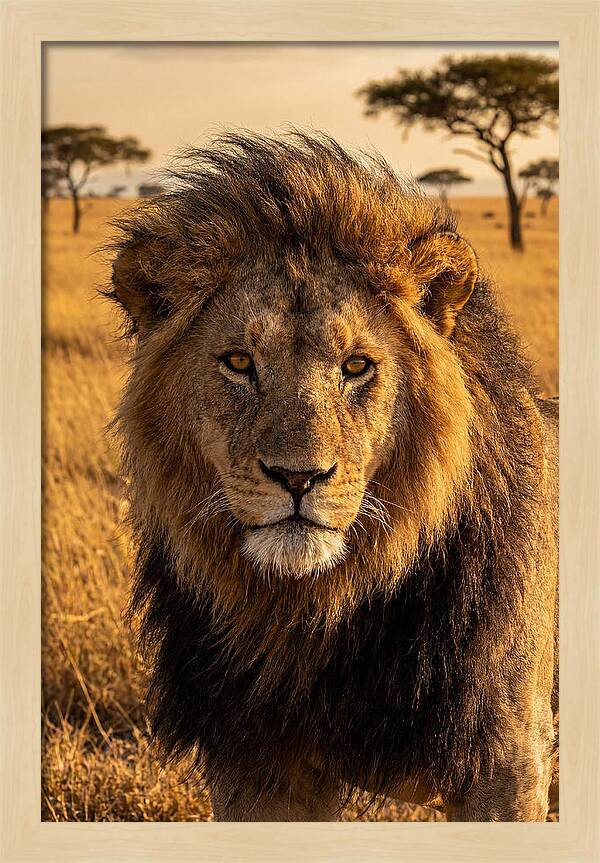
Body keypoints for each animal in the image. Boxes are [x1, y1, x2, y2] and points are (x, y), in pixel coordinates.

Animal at [108, 133, 558, 822]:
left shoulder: (508, 762)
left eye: (357, 366)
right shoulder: (256, 766)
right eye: (238, 362)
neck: (316, 617)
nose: (298, 478)